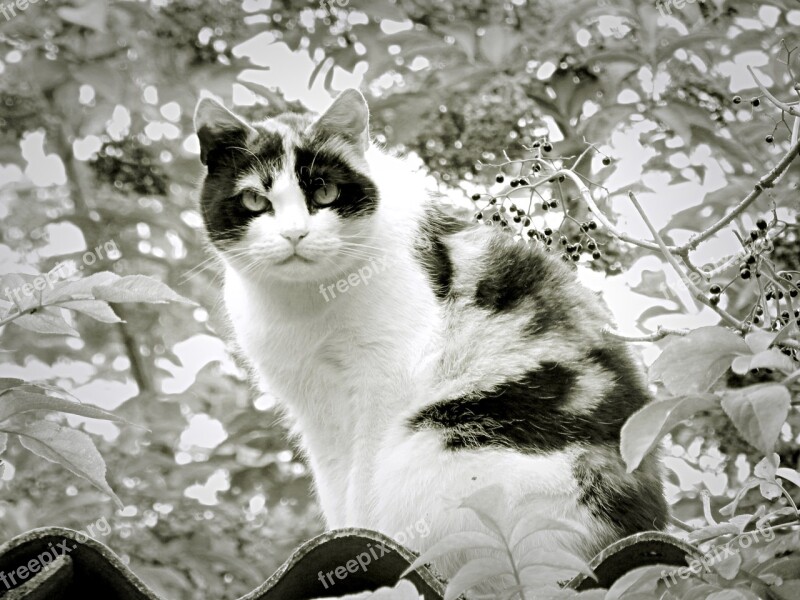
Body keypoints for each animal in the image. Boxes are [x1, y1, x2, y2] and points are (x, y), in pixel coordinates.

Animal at [194, 89, 668, 592]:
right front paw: (342, 541)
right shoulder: (313, 407)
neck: (306, 303)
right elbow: (335, 484)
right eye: (254, 200)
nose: (294, 234)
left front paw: (363, 543)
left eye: (324, 192)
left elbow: (364, 480)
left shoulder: (386, 380)